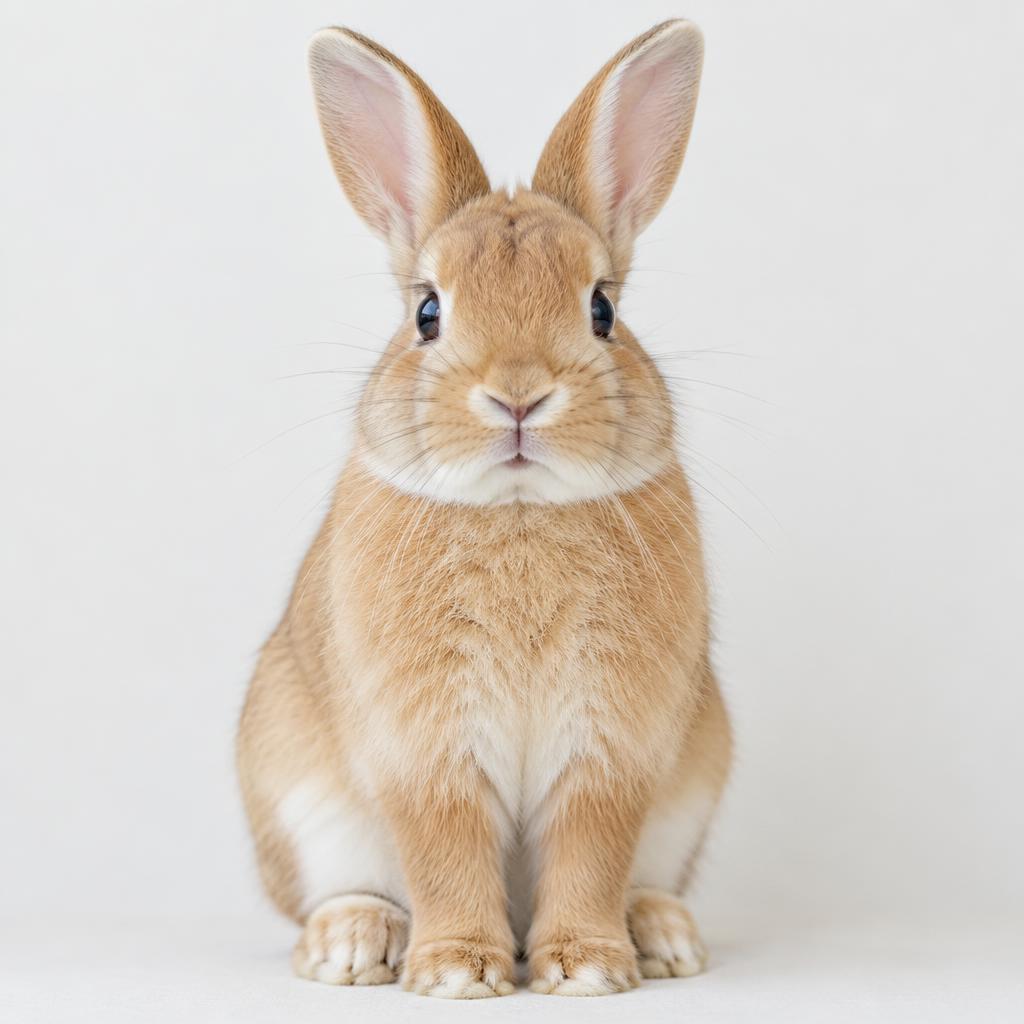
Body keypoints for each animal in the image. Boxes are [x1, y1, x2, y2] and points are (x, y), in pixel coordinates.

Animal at [236, 18, 732, 998]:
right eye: (428, 313)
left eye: (602, 309)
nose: (517, 395)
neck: (519, 508)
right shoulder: (428, 752)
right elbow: (446, 850)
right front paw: (459, 972)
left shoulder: (610, 751)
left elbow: (589, 850)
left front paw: (585, 968)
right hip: (301, 801)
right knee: (336, 894)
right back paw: (354, 942)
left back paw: (662, 935)